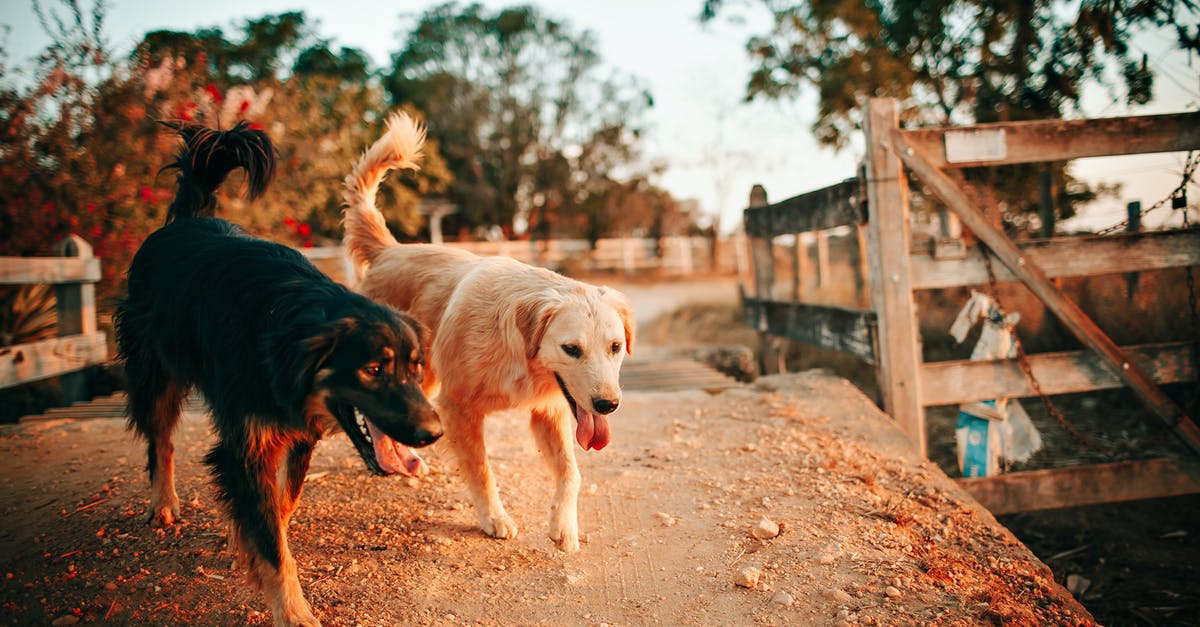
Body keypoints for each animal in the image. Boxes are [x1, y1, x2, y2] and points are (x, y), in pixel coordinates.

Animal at [117, 119, 441, 619]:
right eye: (372, 370)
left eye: (416, 367)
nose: (434, 433)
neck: (284, 329)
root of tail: (186, 220)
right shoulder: (244, 447)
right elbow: (270, 542)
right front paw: (293, 612)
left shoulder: (298, 433)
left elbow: (280, 510)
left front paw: (249, 544)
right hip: (156, 373)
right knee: (161, 440)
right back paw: (164, 502)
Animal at [343, 112, 633, 547]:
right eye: (571, 349)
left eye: (615, 347)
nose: (607, 405)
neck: (518, 354)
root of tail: (388, 250)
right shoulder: (458, 408)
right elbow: (481, 471)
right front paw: (494, 517)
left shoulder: (548, 411)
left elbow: (572, 473)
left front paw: (563, 525)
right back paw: (390, 459)